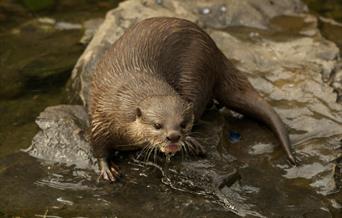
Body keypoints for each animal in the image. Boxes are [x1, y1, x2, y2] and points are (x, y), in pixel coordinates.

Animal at [89, 17, 296, 181]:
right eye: (157, 125)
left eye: (183, 124)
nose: (173, 136)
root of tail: (214, 49)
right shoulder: (102, 118)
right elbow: (98, 145)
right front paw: (107, 169)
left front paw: (190, 141)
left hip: (197, 72)